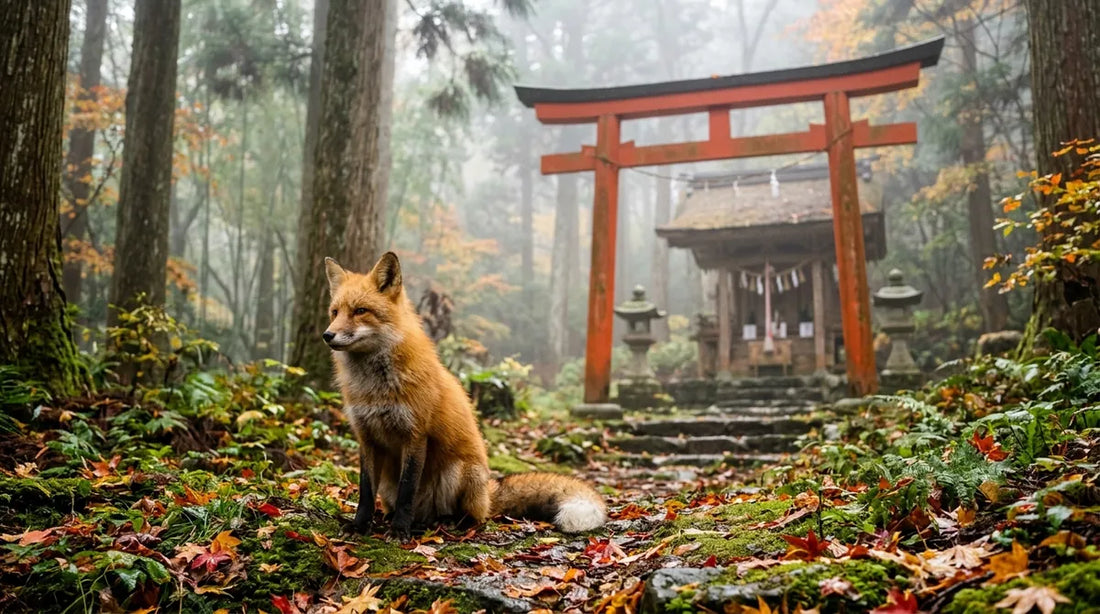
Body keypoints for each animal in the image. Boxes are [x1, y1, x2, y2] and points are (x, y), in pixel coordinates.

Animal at [322, 252, 607, 537]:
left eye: (360, 311)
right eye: (335, 312)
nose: (327, 335)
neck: (375, 389)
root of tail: (488, 492)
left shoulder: (415, 435)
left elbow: (407, 492)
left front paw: (400, 530)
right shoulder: (367, 438)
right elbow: (365, 492)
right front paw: (360, 526)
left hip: (458, 472)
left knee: (472, 515)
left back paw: (449, 522)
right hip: (390, 484)